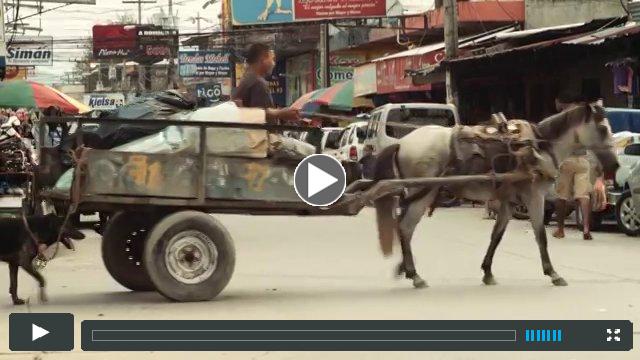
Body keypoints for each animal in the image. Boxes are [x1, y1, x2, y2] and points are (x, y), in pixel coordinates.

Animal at [376, 102, 620, 288]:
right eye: (603, 129)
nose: (615, 165)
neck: (540, 147)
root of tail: (401, 142)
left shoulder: (508, 202)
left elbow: (497, 235)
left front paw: (487, 272)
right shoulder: (534, 197)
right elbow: (540, 235)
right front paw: (553, 273)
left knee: (402, 225)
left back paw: (405, 268)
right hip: (423, 193)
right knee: (405, 227)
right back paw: (414, 275)